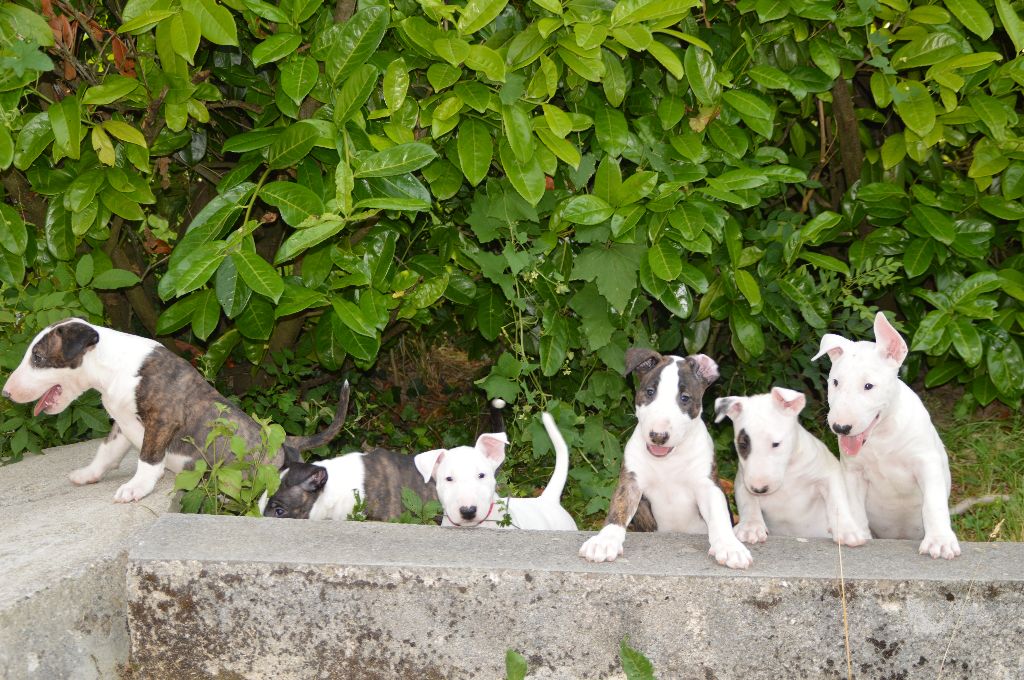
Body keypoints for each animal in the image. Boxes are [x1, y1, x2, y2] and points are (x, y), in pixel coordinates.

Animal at [2, 319, 350, 503]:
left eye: (38, 358)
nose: (5, 393)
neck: (112, 366)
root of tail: (288, 441)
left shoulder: (161, 419)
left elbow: (147, 457)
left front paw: (135, 488)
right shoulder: (121, 423)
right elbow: (106, 452)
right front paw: (88, 474)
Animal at [577, 350, 753, 569]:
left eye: (685, 398)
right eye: (650, 392)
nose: (658, 436)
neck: (668, 459)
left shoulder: (708, 485)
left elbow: (719, 515)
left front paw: (730, 547)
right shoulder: (631, 481)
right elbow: (618, 508)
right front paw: (603, 541)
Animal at [712, 387, 872, 548]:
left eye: (776, 444)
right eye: (742, 444)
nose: (759, 489)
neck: (787, 473)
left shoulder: (828, 471)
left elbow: (837, 500)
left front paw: (847, 530)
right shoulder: (742, 480)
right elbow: (747, 501)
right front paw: (751, 527)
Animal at [815, 311, 958, 557]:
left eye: (869, 386)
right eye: (835, 382)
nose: (840, 428)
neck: (881, 435)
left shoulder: (927, 463)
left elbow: (933, 504)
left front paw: (940, 541)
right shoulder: (852, 471)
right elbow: (854, 506)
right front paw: (858, 534)